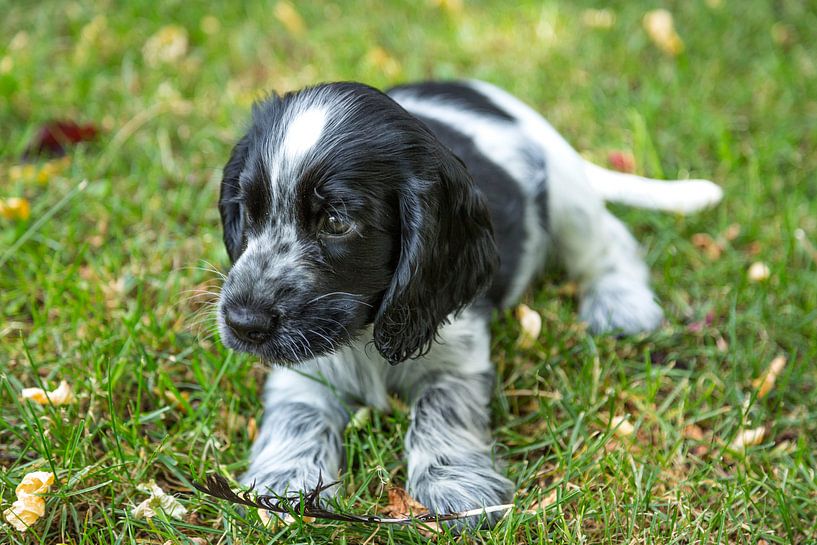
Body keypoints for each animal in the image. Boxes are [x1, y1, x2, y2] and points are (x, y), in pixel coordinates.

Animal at [215, 81, 720, 528]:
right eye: (249, 209)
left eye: (337, 222)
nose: (243, 323)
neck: (367, 333)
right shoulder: (302, 371)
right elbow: (296, 414)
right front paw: (282, 485)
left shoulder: (457, 353)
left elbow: (442, 409)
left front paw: (456, 489)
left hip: (567, 195)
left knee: (608, 238)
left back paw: (620, 302)